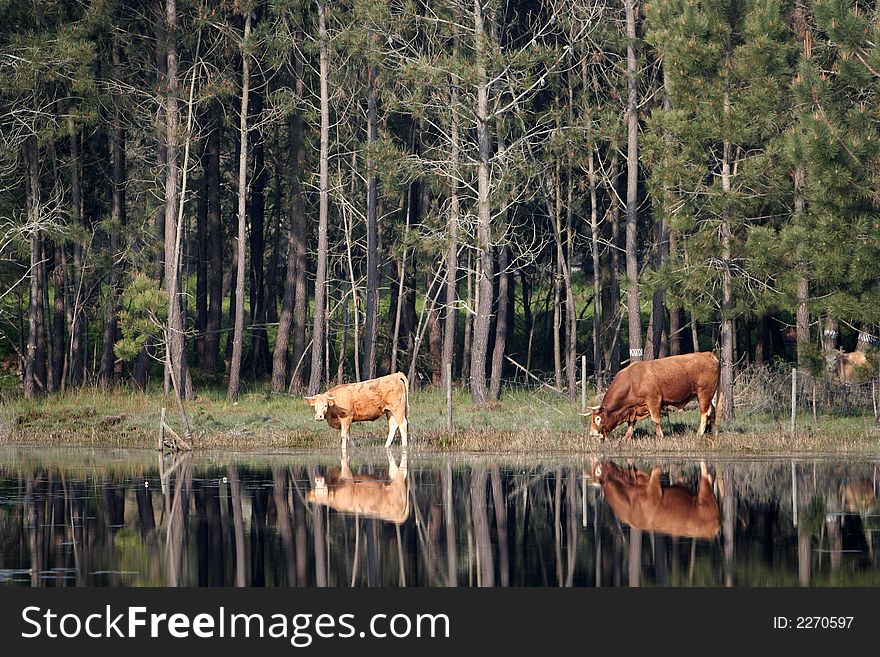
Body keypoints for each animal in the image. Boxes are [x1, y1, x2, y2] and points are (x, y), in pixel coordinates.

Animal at [584, 352, 720, 438]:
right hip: (707, 395)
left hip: (704, 392)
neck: (633, 381)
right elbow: (631, 424)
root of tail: (707, 354)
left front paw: (660, 436)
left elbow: (655, 420)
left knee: (705, 412)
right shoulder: (634, 408)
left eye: (597, 419)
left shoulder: (654, 400)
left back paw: (699, 433)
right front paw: (626, 438)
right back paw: (713, 431)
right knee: (712, 410)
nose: (592, 433)